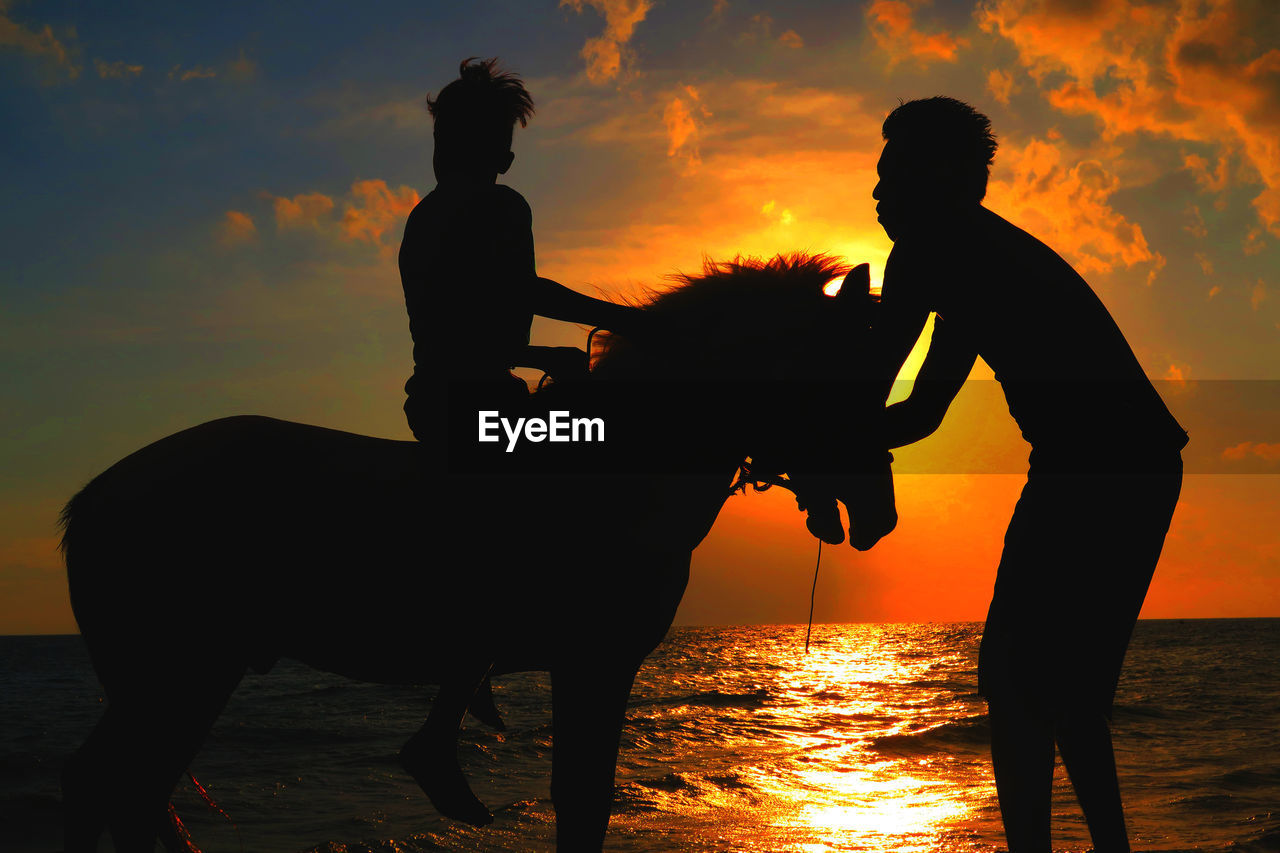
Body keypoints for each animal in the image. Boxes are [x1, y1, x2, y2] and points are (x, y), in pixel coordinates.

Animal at [60, 252, 896, 850]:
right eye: (844, 375)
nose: (878, 513)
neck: (621, 470)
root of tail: (92, 498)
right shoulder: (595, 658)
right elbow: (583, 798)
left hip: (176, 677)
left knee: (119, 791)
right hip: (181, 672)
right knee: (119, 788)